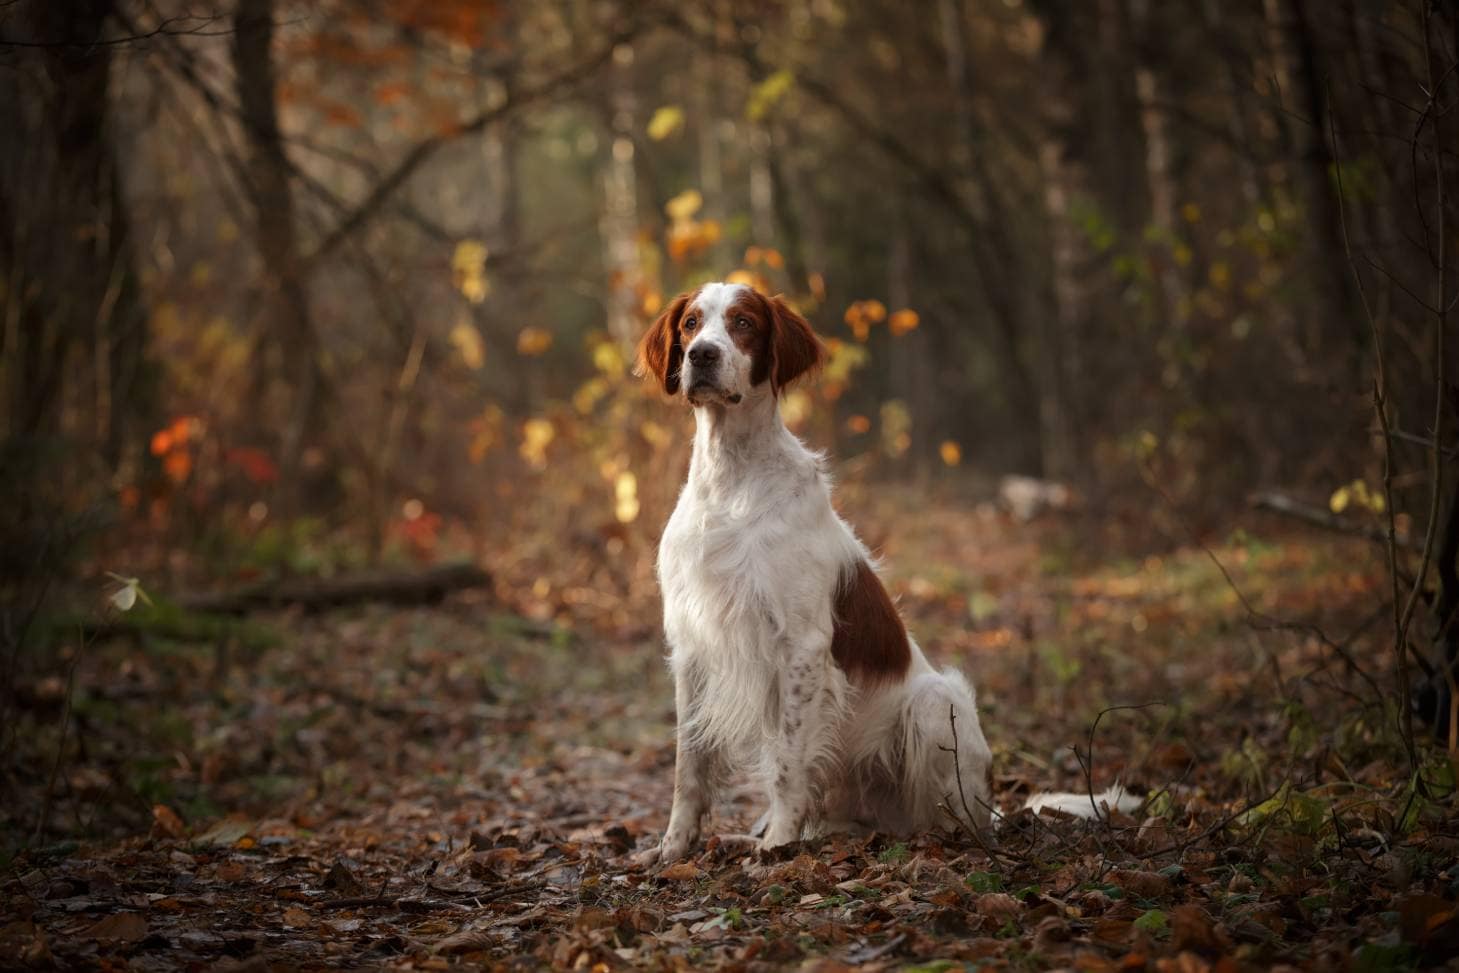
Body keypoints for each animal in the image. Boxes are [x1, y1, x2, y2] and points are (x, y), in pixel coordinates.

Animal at [633, 281, 997, 869]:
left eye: (743, 323)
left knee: (948, 818)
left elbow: (787, 763)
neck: (734, 476)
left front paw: (778, 845)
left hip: (935, 701)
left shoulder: (801, 645)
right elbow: (689, 766)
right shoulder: (692, 647)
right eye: (690, 323)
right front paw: (672, 848)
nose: (701, 356)